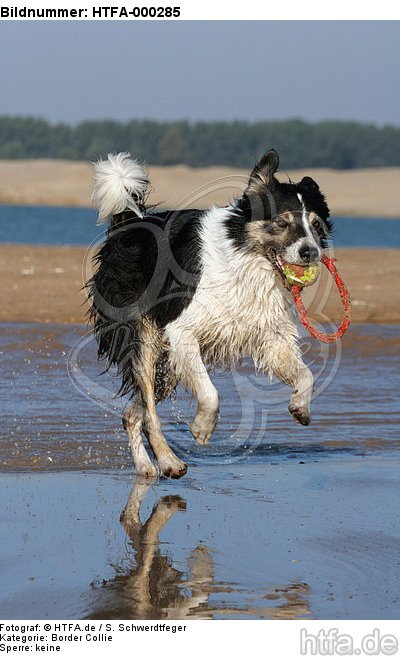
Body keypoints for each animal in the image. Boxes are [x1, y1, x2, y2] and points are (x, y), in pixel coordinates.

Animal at [89, 147, 332, 476]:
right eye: (281, 223)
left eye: (316, 225)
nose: (310, 252)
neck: (245, 259)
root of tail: (125, 227)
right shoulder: (181, 330)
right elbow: (210, 392)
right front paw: (202, 428)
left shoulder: (271, 337)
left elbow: (306, 375)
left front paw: (300, 407)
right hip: (146, 339)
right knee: (148, 409)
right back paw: (168, 461)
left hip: (167, 364)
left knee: (132, 413)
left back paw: (147, 467)